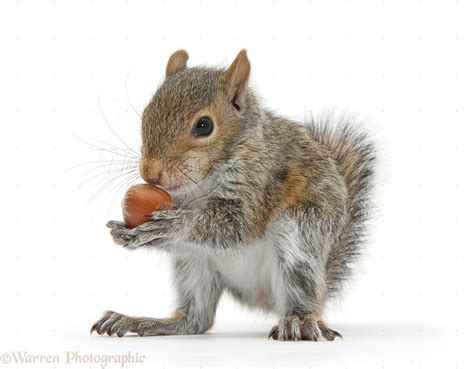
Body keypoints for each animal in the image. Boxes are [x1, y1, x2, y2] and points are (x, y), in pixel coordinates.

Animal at [90, 49, 376, 340]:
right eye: (147, 115)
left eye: (204, 126)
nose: (151, 173)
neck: (203, 181)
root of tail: (261, 297)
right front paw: (123, 231)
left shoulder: (259, 182)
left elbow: (237, 224)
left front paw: (173, 226)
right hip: (192, 262)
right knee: (196, 320)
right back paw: (139, 321)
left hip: (300, 239)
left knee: (302, 293)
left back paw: (300, 321)